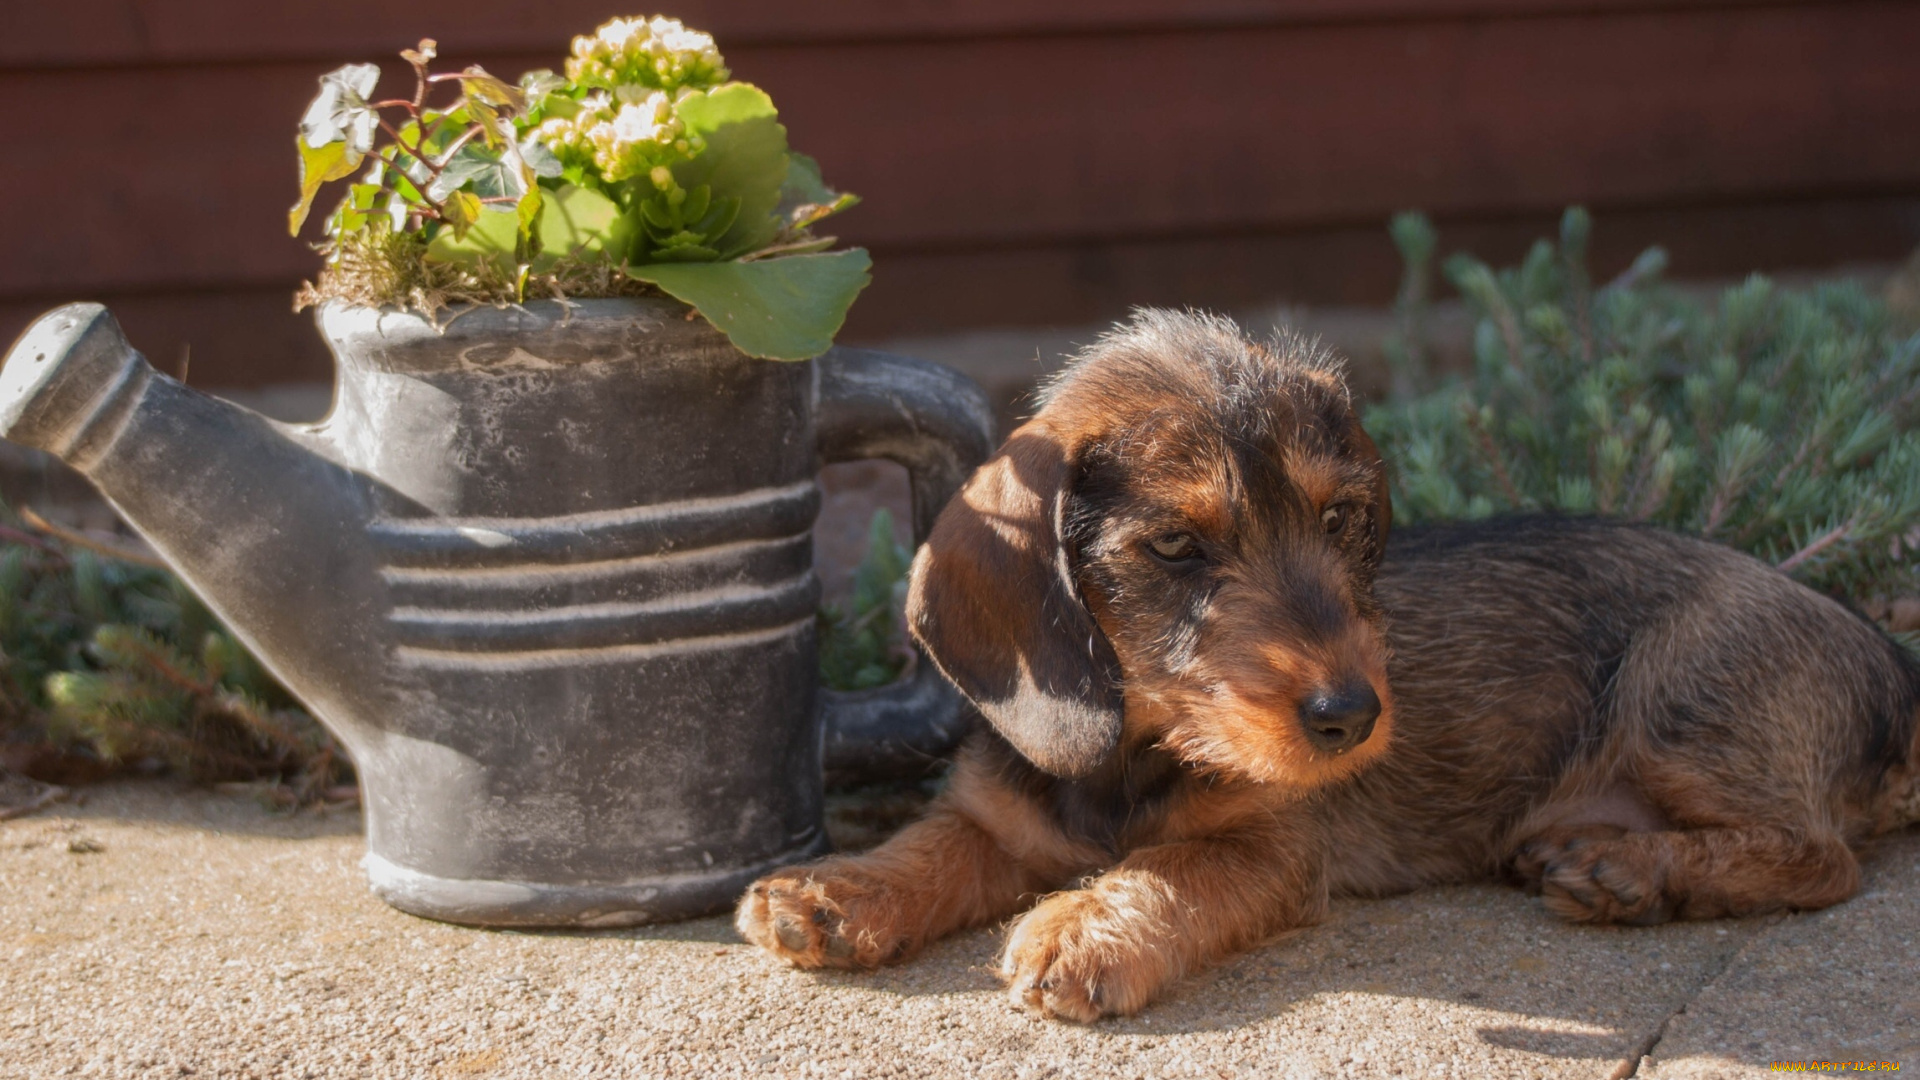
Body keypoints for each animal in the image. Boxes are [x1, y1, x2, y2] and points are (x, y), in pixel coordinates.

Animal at [729, 307, 1920, 1014]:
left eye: (1343, 518)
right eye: (1177, 545)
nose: (1352, 716)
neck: (1137, 750)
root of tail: (1892, 663)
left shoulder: (1271, 848)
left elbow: (1170, 869)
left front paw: (1082, 926)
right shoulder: (996, 811)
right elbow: (934, 844)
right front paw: (833, 889)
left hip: (1681, 695)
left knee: (1821, 858)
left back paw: (1628, 869)